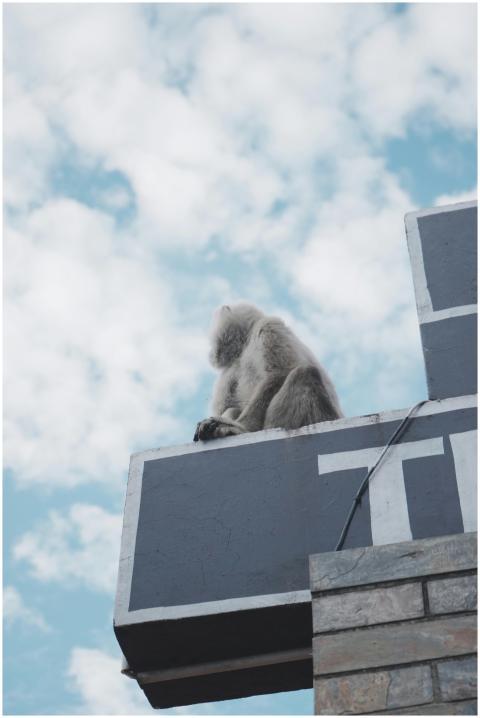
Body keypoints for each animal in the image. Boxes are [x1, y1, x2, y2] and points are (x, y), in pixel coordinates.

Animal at [193, 303, 343, 442]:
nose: (210, 352)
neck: (247, 341)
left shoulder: (268, 326)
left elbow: (279, 374)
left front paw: (243, 427)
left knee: (304, 373)